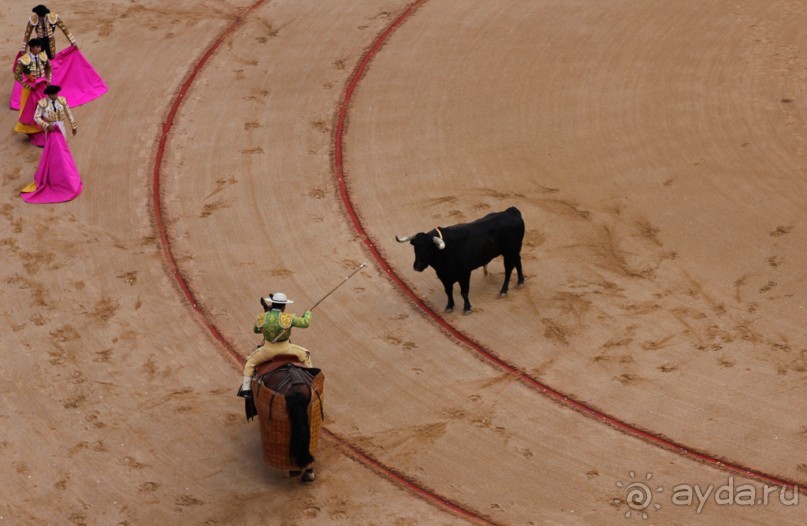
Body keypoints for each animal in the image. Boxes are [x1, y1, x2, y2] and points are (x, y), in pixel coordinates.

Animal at [396, 206, 524, 314]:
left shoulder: (465, 274)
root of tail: (512, 211)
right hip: (515, 251)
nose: (417, 267)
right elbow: (448, 291)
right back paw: (521, 282)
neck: (445, 253)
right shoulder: (443, 276)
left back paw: (503, 291)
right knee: (518, 262)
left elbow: (464, 292)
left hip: (509, 252)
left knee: (508, 270)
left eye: (428, 249)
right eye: (415, 249)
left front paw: (467, 308)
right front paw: (449, 306)